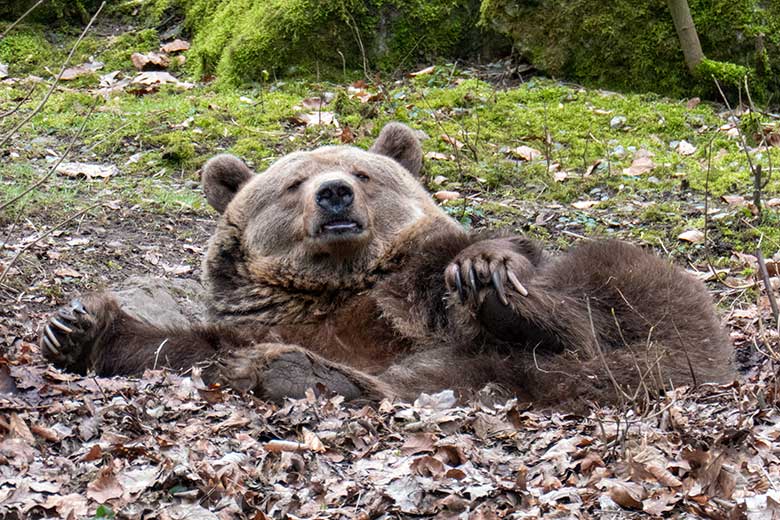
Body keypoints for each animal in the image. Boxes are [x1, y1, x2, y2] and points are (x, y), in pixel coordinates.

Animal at [41, 122, 736, 410]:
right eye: (292, 184)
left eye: (364, 172)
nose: (334, 194)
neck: (336, 287)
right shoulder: (264, 317)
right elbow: (188, 345)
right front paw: (72, 326)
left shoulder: (415, 281)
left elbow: (474, 262)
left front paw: (484, 270)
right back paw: (296, 372)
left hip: (648, 307)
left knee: (603, 293)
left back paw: (501, 301)